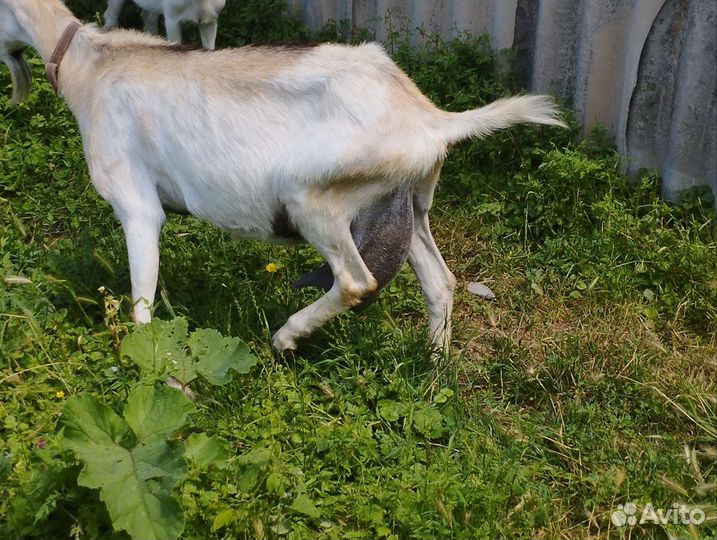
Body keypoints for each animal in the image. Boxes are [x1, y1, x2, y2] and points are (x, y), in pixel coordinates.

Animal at [0, 0, 566, 353]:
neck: (92, 66)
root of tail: (430, 120)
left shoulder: (135, 202)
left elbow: (141, 300)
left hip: (315, 202)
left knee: (357, 281)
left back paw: (285, 338)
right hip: (409, 207)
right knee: (440, 282)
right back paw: (432, 369)